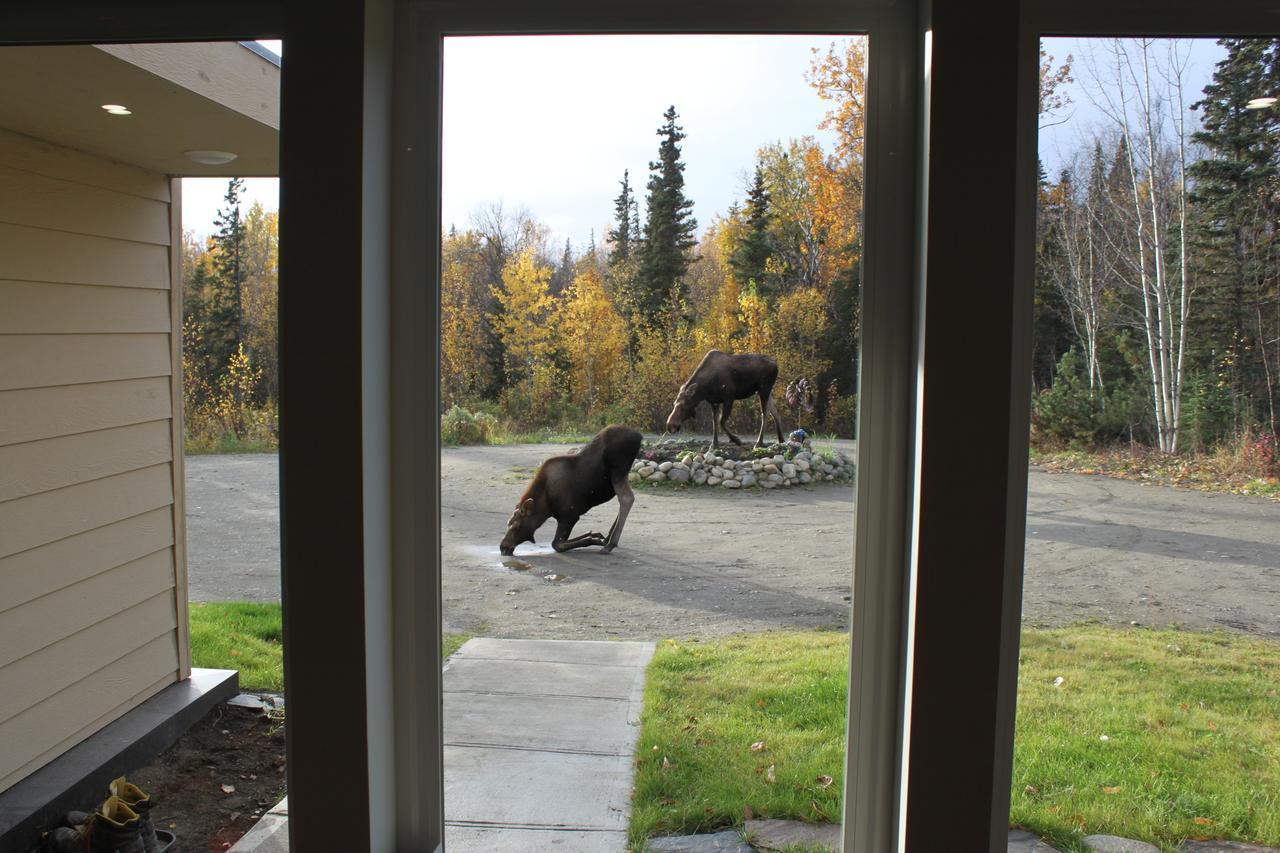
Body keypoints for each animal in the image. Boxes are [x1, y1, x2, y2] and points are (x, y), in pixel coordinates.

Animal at [496, 422, 640, 555]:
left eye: (516, 525)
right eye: (508, 523)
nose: (503, 547)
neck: (546, 506)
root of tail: (639, 436)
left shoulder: (570, 515)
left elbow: (557, 544)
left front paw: (592, 539)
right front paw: (595, 535)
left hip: (618, 470)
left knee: (626, 498)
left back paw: (610, 544)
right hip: (621, 474)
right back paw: (608, 538)